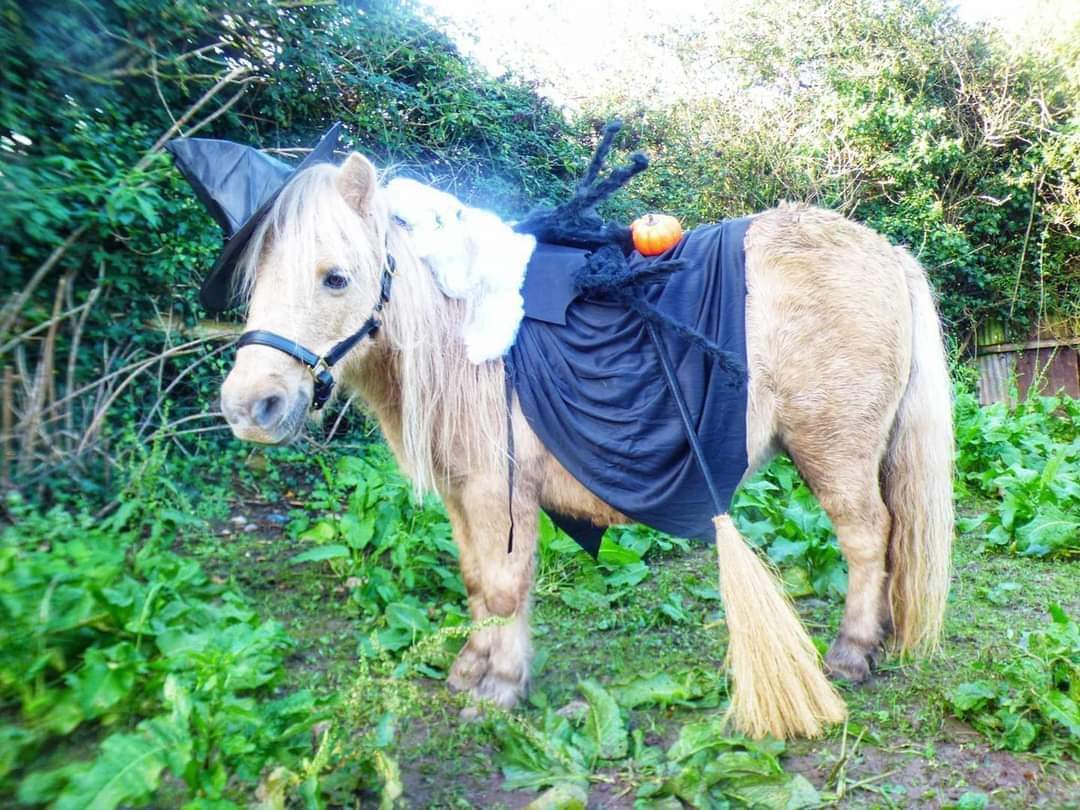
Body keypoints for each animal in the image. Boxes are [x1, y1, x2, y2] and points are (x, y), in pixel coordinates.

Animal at [217, 152, 954, 740]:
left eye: (336, 278)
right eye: (257, 279)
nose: (251, 407)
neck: (462, 338)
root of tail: (888, 254)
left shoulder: (500, 496)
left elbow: (505, 589)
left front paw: (499, 688)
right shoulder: (462, 498)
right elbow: (475, 582)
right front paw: (471, 666)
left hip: (834, 454)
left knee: (868, 538)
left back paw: (852, 650)